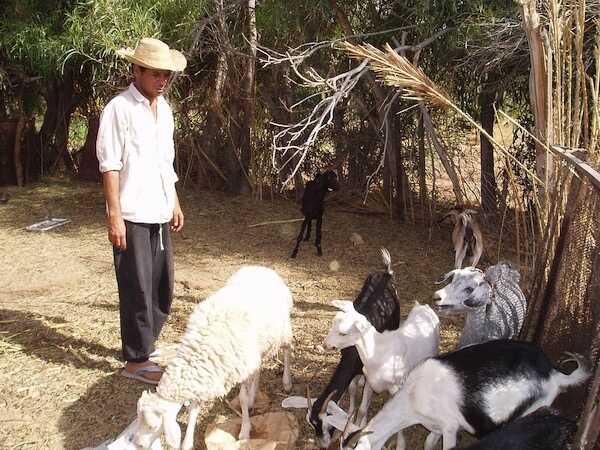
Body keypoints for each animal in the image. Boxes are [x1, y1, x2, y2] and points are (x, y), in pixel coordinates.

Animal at [132, 268, 294, 450]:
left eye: (152, 426)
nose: (138, 444)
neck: (201, 348)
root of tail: (262, 268)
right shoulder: (207, 375)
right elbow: (193, 410)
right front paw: (187, 443)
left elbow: (242, 399)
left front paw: (245, 431)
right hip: (257, 348)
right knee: (257, 369)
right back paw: (254, 395)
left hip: (283, 330)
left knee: (287, 350)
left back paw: (286, 382)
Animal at [308, 248, 400, 448]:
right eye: (312, 425)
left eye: (328, 425)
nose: (323, 444)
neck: (354, 352)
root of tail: (387, 273)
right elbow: (351, 392)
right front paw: (349, 415)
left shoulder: (369, 375)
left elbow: (364, 408)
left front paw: (359, 424)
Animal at [340, 342, 588, 450]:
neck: (412, 397)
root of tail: (555, 376)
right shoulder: (436, 426)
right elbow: (428, 443)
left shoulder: (450, 427)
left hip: (531, 410)